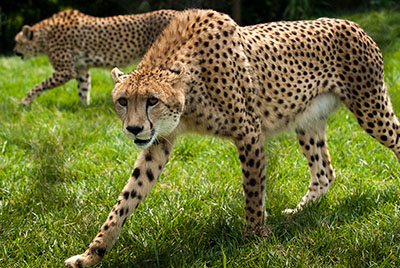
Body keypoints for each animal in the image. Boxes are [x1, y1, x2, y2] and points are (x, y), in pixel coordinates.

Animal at [13, 8, 177, 104]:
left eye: (16, 41)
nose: (14, 50)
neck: (43, 36)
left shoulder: (65, 71)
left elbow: (39, 85)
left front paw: (24, 102)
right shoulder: (81, 69)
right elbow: (84, 89)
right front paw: (83, 108)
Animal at [64, 9, 398, 266]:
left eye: (152, 100)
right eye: (122, 101)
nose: (133, 129)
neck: (189, 97)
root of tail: (351, 23)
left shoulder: (249, 131)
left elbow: (252, 190)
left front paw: (254, 238)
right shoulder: (158, 143)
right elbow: (126, 198)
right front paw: (91, 254)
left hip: (371, 107)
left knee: (394, 138)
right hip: (307, 120)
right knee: (324, 172)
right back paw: (300, 211)